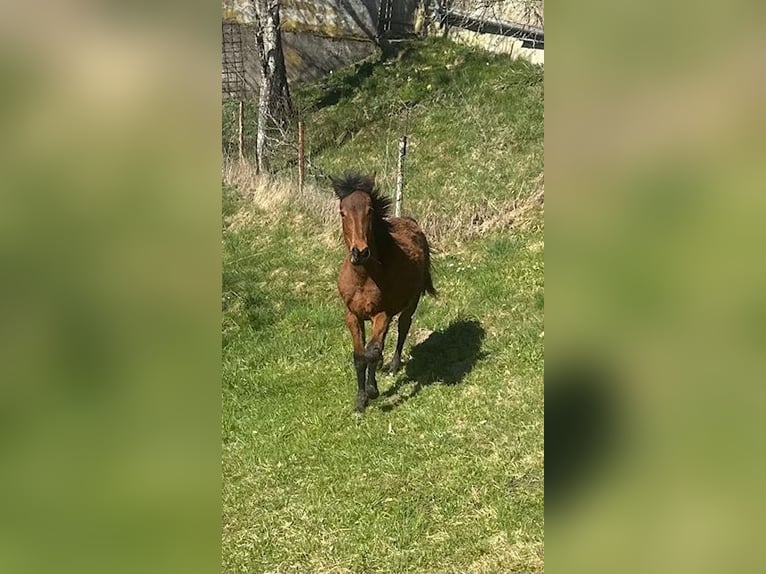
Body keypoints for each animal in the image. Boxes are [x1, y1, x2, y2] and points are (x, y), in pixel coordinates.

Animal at [332, 172, 436, 412]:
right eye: (342, 212)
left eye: (370, 210)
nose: (360, 252)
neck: (363, 277)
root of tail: (411, 222)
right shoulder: (352, 316)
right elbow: (359, 356)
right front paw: (360, 400)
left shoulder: (381, 314)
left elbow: (371, 351)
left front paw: (372, 390)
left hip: (411, 302)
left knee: (402, 327)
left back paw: (392, 366)